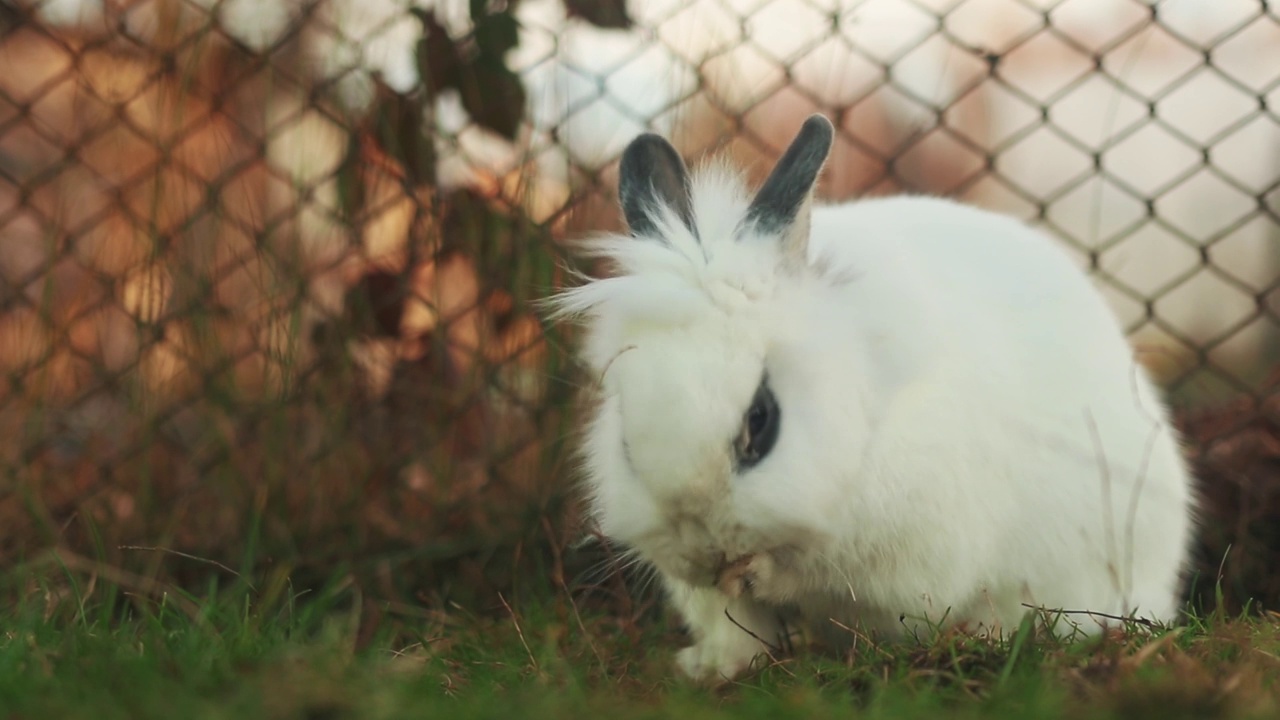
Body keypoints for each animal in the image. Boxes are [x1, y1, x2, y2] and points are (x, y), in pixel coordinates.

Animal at [550, 112, 1198, 676]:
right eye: (625, 442)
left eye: (761, 421)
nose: (709, 549)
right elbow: (737, 630)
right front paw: (716, 666)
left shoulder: (910, 555)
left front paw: (757, 572)